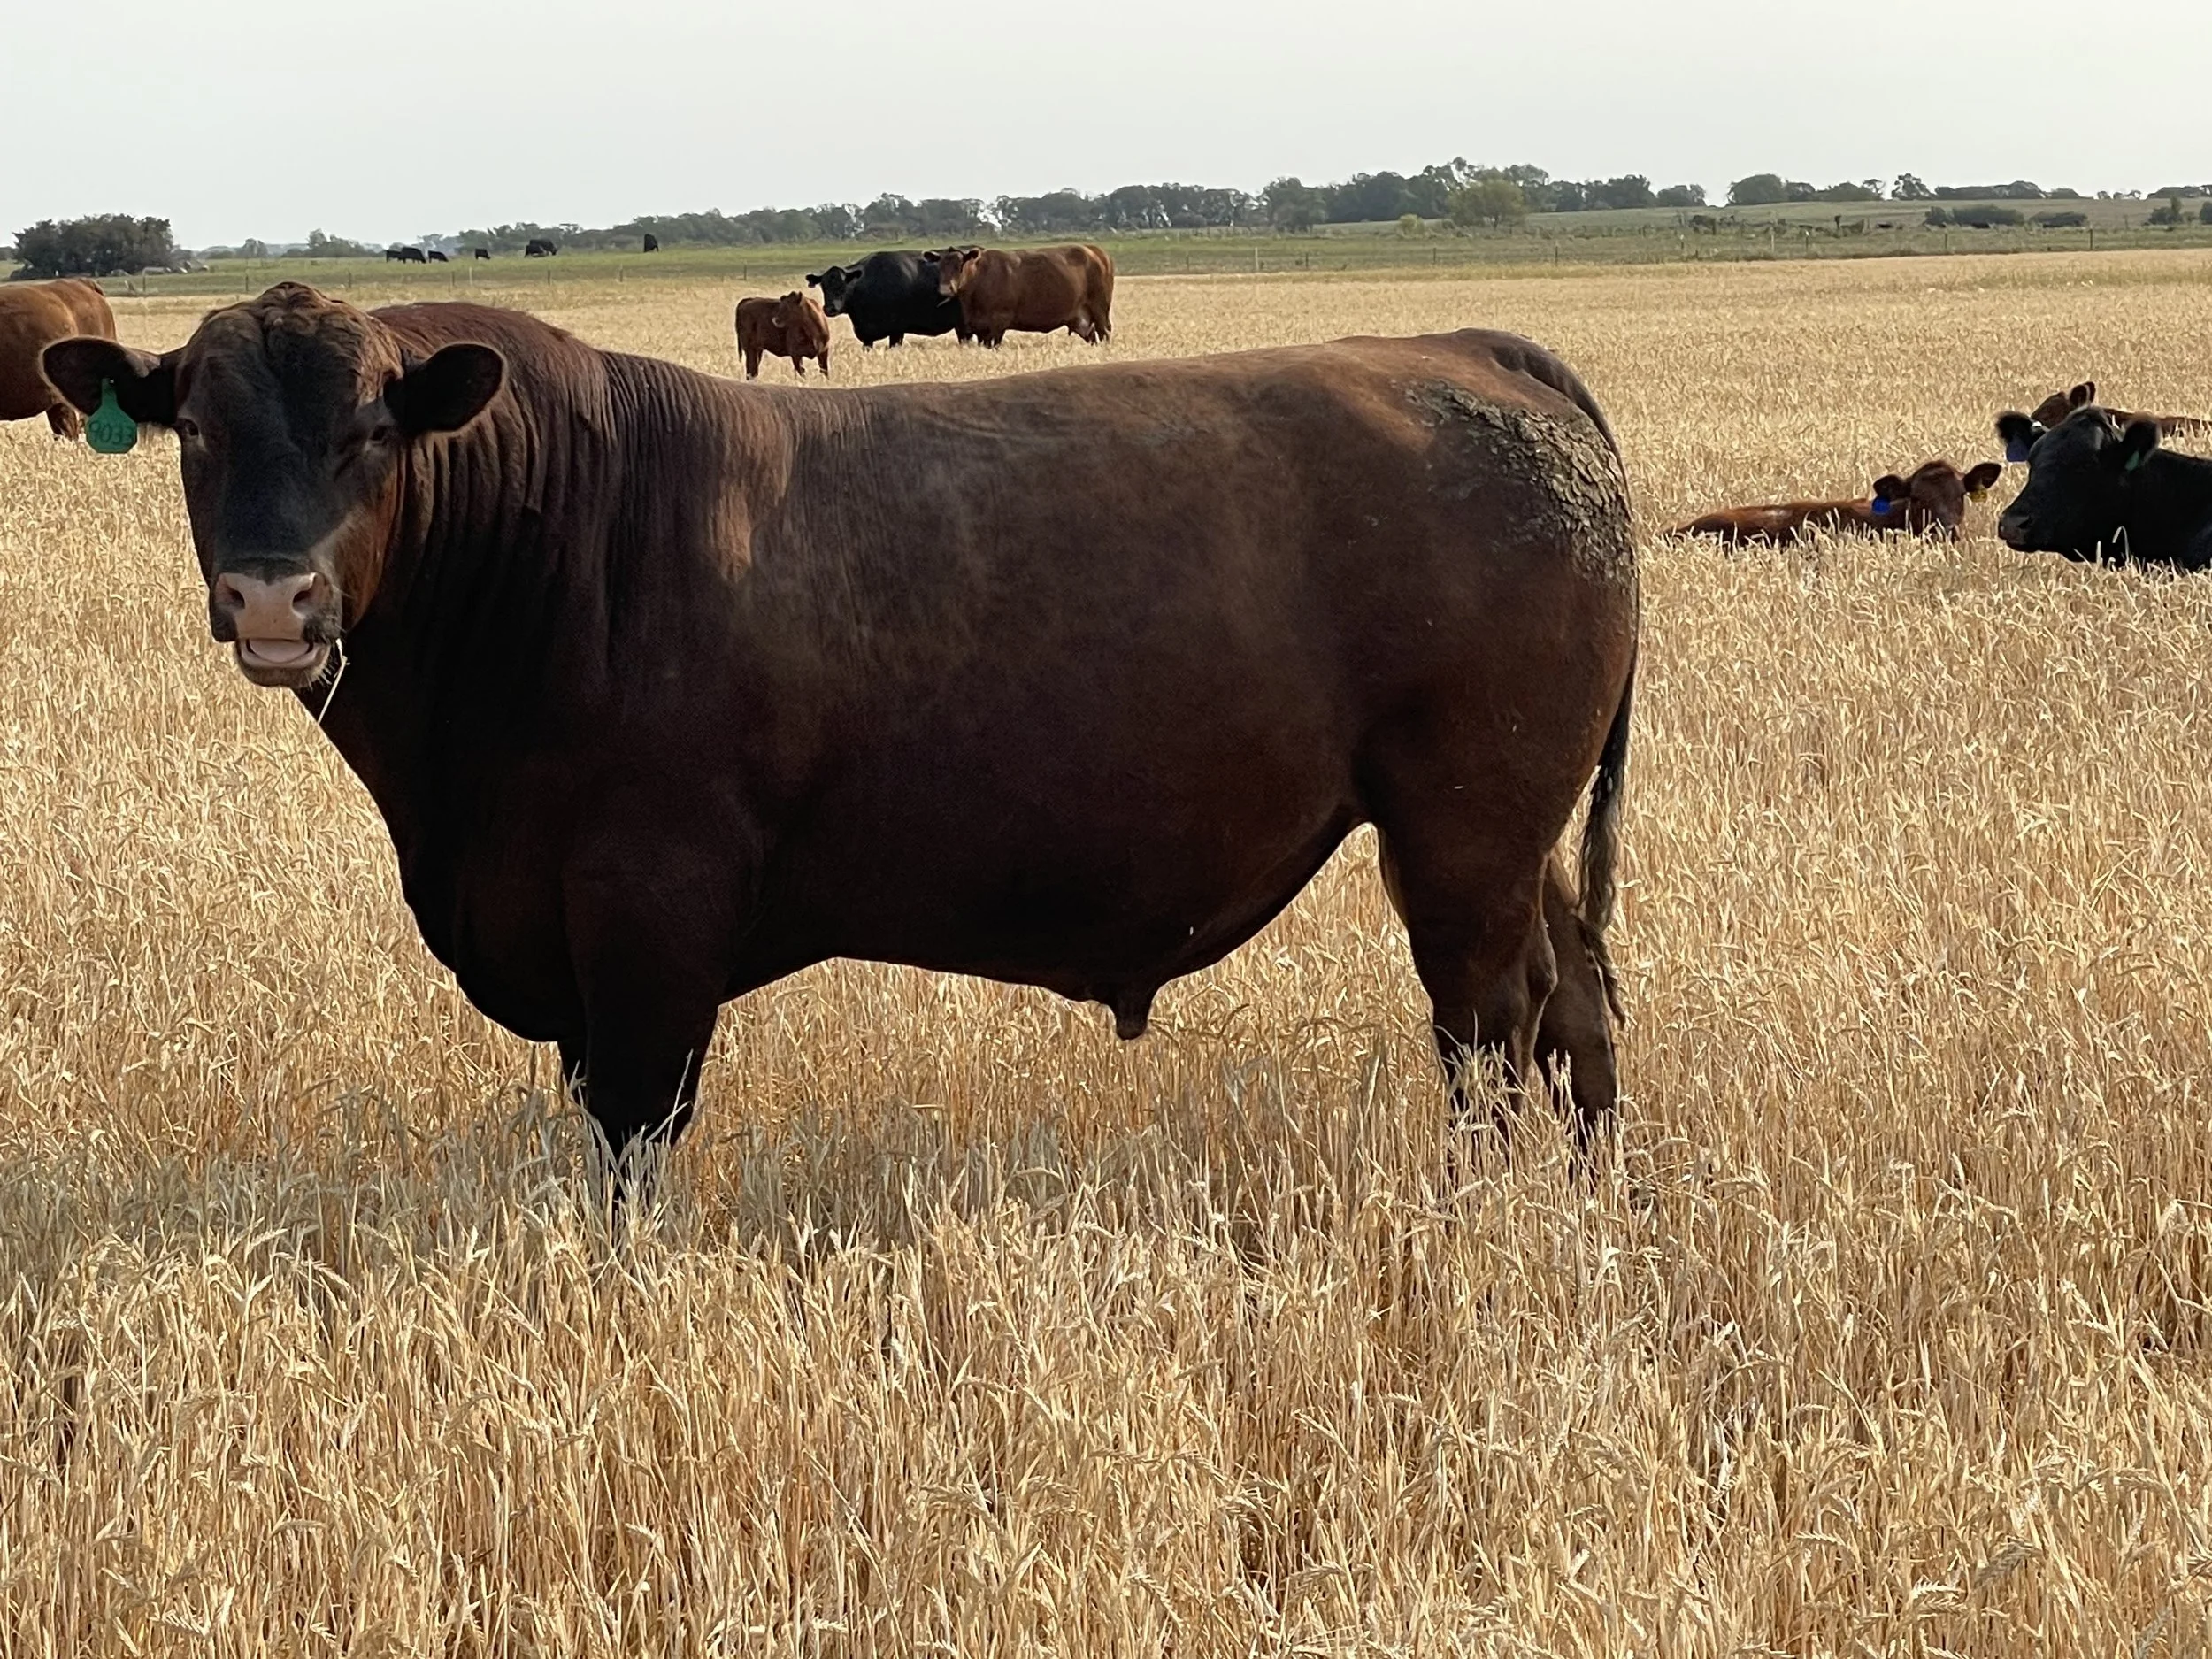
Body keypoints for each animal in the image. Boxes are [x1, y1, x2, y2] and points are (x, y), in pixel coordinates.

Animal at [43, 282, 1638, 1163]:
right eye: (197, 430)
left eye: (371, 432)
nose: (273, 595)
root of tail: (1462, 351)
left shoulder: (649, 918)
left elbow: (634, 1136)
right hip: (1516, 836)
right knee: (1574, 1002)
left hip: (1464, 827)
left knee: (1489, 1030)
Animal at [930, 244, 1114, 347]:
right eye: (940, 267)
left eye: (959, 266)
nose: (945, 289)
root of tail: (1093, 250)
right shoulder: (978, 328)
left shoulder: (999, 322)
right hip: (1080, 319)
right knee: (1092, 335)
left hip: (1100, 308)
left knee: (1104, 331)